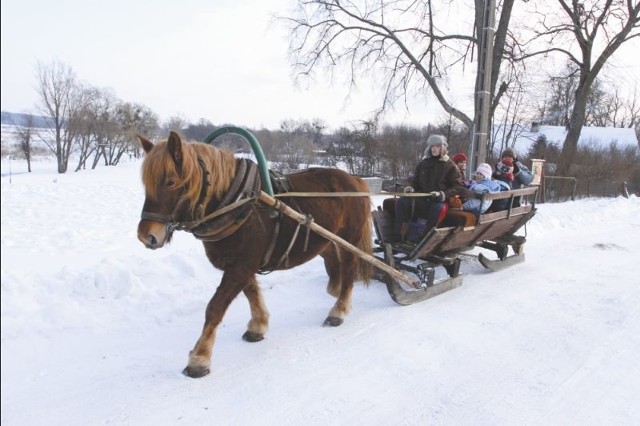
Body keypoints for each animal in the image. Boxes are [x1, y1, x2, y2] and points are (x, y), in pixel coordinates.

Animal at [138, 131, 372, 378]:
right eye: (147, 184)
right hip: (323, 239)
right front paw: (258, 326)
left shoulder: (241, 266)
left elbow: (215, 307)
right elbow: (251, 292)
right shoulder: (240, 265)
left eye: (171, 182)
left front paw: (199, 359)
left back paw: (339, 309)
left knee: (349, 269)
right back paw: (334, 289)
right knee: (333, 261)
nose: (146, 235)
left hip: (349, 239)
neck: (238, 203)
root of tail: (356, 180)